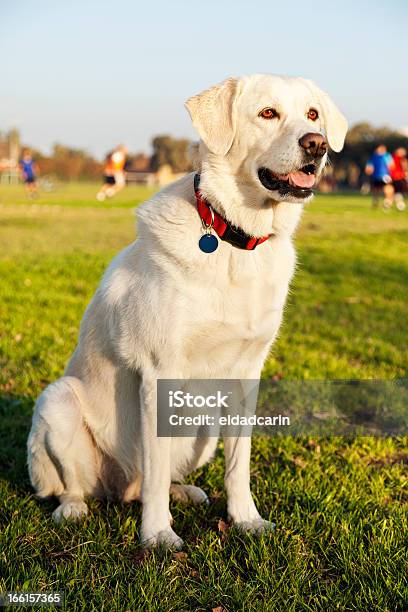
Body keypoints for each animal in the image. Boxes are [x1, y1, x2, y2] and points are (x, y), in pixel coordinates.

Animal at [27, 74, 346, 548]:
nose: (317, 144)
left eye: (312, 115)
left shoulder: (245, 376)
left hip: (204, 427)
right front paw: (158, 535)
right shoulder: (161, 372)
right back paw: (74, 509)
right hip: (58, 401)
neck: (236, 241)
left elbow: (238, 466)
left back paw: (186, 492)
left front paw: (245, 519)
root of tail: (118, 487)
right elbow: (157, 471)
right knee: (84, 485)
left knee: (149, 482)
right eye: (268, 113)